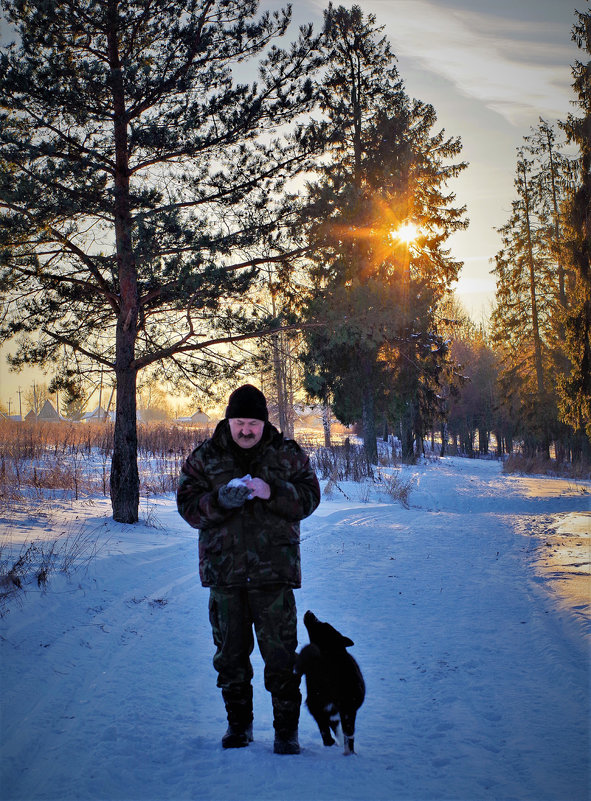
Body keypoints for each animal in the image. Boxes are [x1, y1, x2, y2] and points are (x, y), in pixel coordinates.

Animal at [296, 608, 366, 752]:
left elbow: (324, 726)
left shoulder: (314, 704)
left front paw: (330, 741)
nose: (310, 612)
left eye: (323, 625)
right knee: (345, 732)